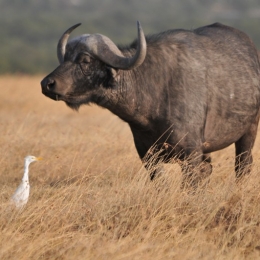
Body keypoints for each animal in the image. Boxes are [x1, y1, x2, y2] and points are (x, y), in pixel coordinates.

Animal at [40, 21, 260, 186]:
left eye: (85, 60)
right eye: (65, 57)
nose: (47, 84)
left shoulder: (190, 154)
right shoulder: (147, 154)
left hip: (248, 132)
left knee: (242, 166)